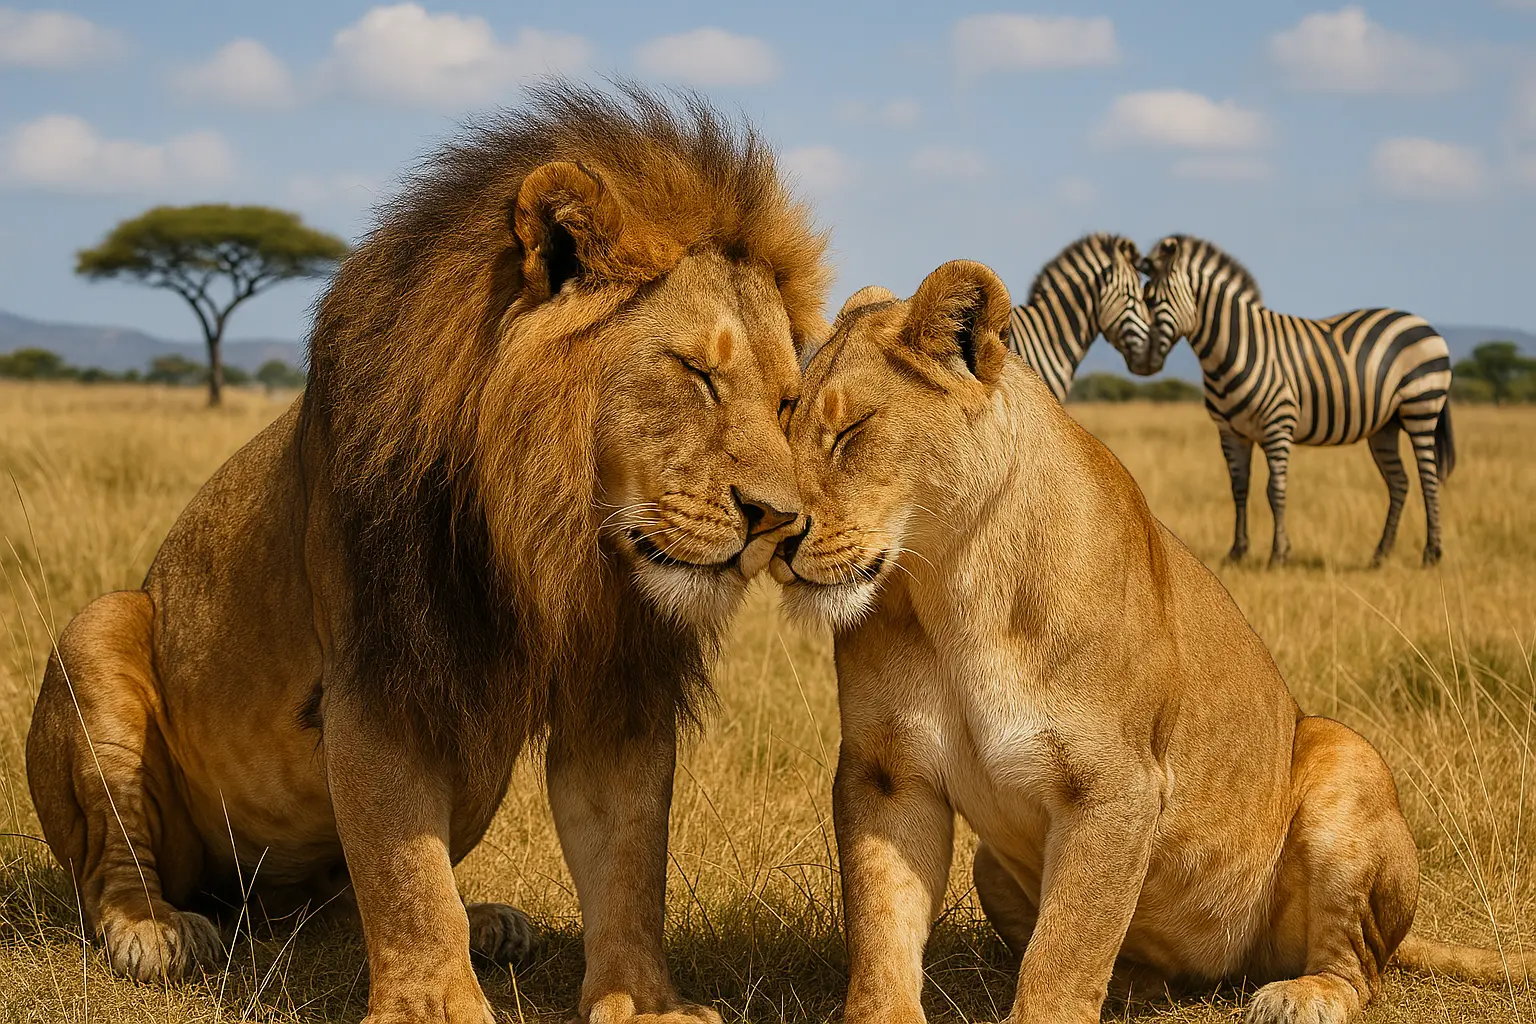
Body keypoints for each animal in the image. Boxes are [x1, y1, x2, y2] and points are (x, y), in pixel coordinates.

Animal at [26, 83, 828, 1024]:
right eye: (697, 374)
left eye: (786, 403)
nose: (777, 521)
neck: (555, 537)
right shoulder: (381, 676)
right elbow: (404, 868)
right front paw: (434, 1005)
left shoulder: (615, 687)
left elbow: (629, 859)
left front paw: (644, 1002)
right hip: (99, 632)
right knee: (111, 870)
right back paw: (154, 931)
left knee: (346, 899)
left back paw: (485, 922)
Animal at [1133, 234, 1454, 567]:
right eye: (1142, 299)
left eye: (1154, 301)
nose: (1141, 362)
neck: (1236, 349)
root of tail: (1422, 323)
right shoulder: (1231, 432)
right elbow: (1239, 488)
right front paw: (1237, 551)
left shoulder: (1278, 425)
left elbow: (1275, 491)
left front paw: (1278, 554)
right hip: (1385, 426)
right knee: (1399, 482)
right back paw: (1380, 554)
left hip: (1421, 408)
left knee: (1428, 478)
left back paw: (1431, 553)